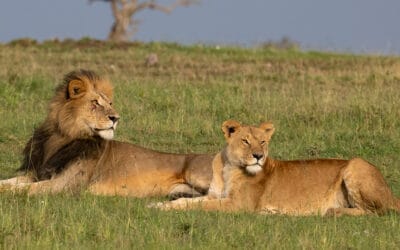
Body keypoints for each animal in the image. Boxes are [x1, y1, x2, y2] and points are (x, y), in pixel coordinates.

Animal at [0, 69, 214, 196]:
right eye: (95, 103)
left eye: (110, 103)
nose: (116, 118)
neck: (60, 138)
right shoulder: (39, 172)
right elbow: (8, 182)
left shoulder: (66, 184)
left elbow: (22, 189)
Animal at [151, 120, 400, 216]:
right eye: (245, 141)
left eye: (262, 141)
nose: (258, 156)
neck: (228, 168)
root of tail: (391, 193)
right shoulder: (215, 195)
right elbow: (185, 201)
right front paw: (158, 205)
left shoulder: (238, 205)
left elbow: (201, 207)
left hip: (356, 164)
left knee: (378, 211)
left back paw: (332, 211)